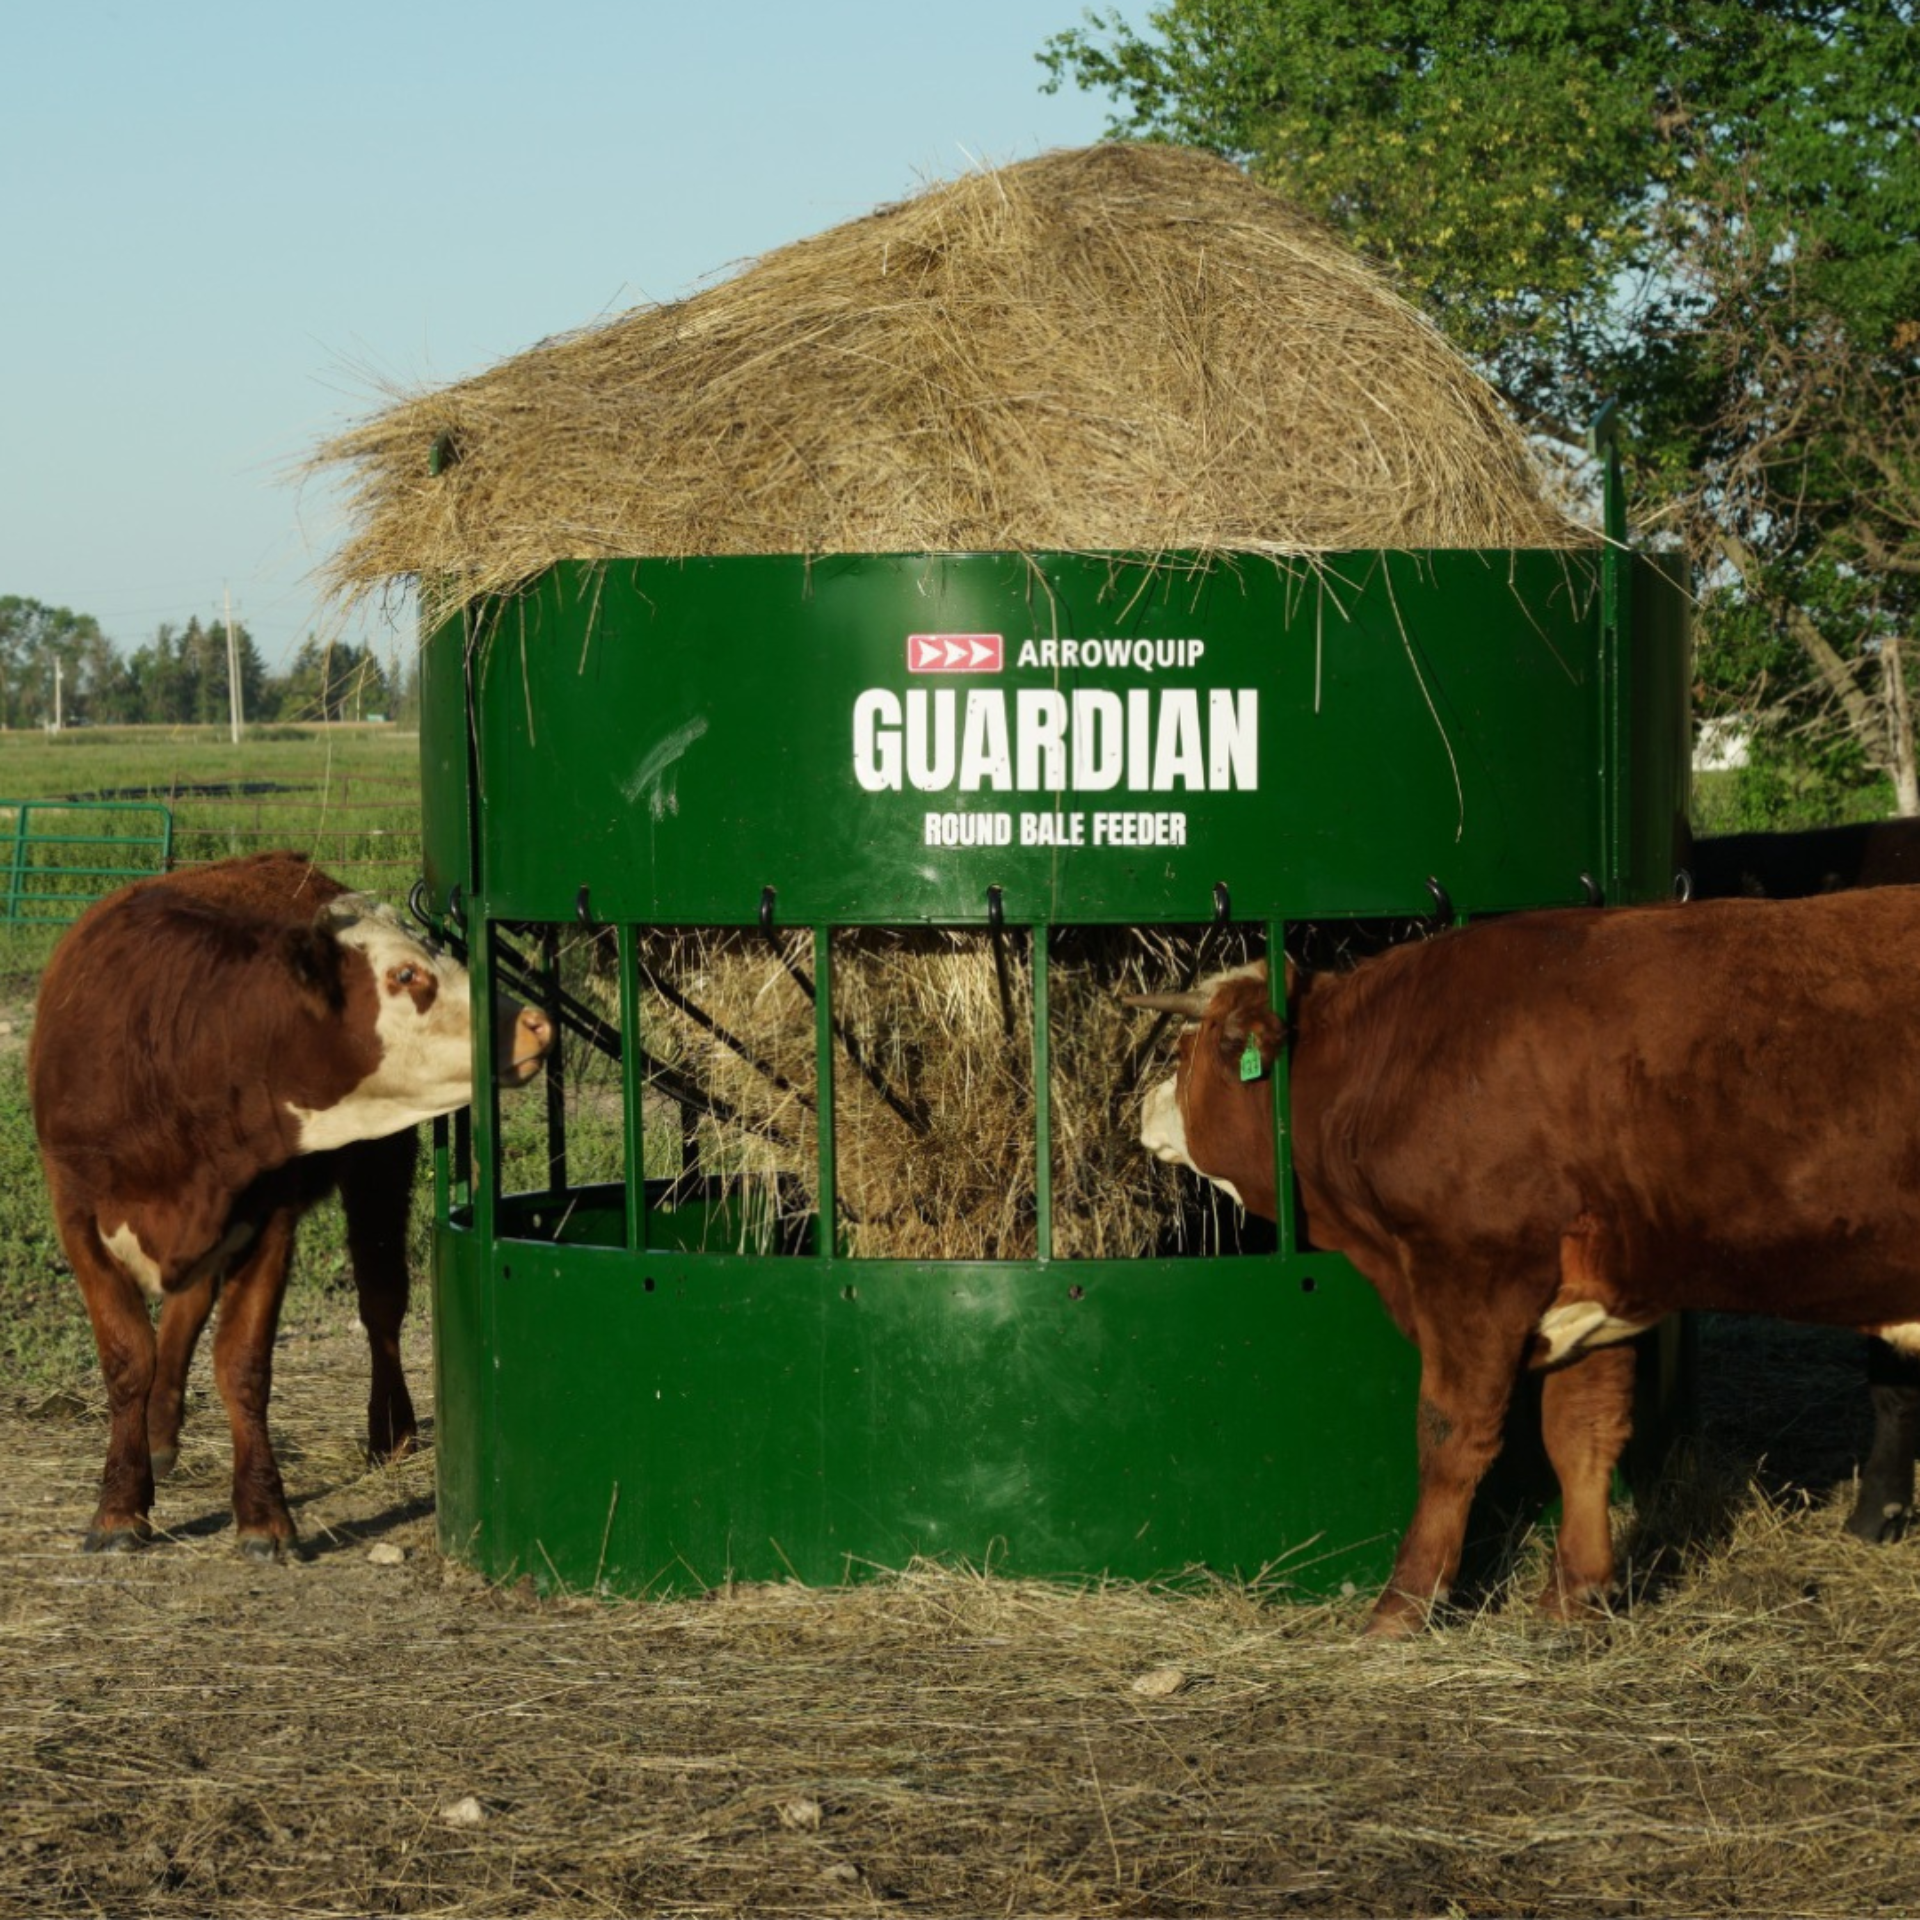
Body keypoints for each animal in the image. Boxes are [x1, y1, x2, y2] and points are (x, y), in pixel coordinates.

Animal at [29, 852, 553, 1559]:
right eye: (405, 974)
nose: (535, 1024)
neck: (175, 1049)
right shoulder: (78, 1216)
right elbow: (128, 1358)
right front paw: (120, 1505)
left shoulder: (268, 1219)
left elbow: (243, 1364)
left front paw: (263, 1515)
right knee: (187, 1310)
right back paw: (160, 1433)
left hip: (380, 1167)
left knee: (381, 1301)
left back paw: (391, 1429)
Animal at [1130, 890, 1920, 1636]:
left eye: (1185, 1052)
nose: (1142, 1108)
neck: (1387, 1065)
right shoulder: (1594, 1296)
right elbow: (1582, 1434)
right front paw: (1576, 1595)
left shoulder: (1472, 1274)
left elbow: (1450, 1437)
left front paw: (1403, 1604)